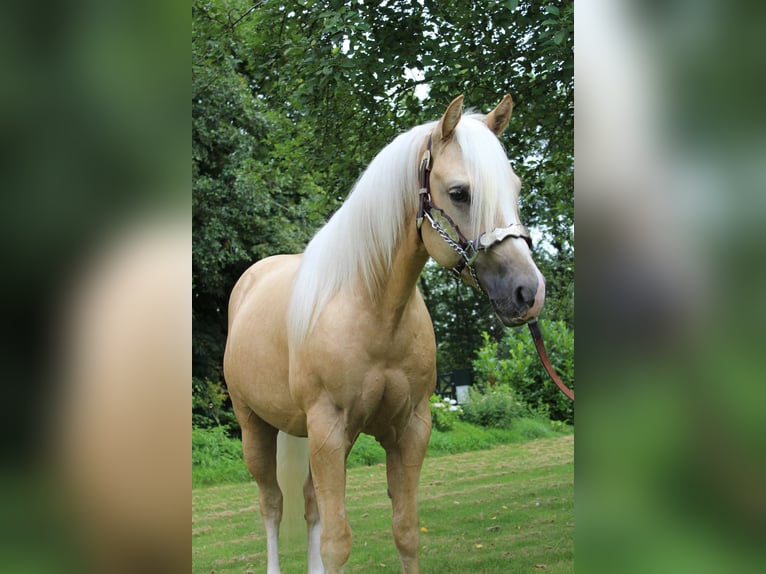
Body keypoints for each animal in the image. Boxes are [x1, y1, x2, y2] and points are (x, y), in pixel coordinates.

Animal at [225, 95, 548, 574]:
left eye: (516, 187)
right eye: (459, 192)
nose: (528, 292)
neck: (374, 309)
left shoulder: (409, 429)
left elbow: (406, 531)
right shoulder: (328, 429)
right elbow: (337, 543)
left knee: (309, 505)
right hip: (256, 428)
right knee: (273, 505)